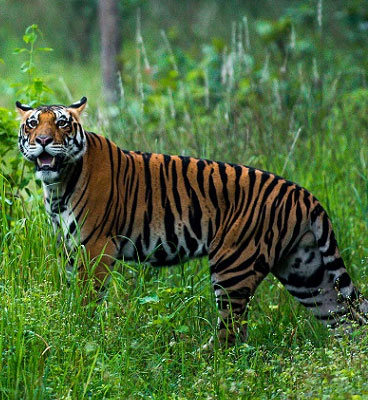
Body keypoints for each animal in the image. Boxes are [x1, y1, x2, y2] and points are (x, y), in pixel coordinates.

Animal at [16, 97, 368, 346]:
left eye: (62, 123)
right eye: (32, 124)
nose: (43, 140)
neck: (57, 184)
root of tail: (303, 194)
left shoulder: (96, 247)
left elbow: (87, 297)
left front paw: (81, 332)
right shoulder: (70, 246)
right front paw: (70, 324)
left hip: (233, 266)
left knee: (232, 334)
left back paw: (197, 360)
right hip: (305, 271)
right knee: (344, 318)